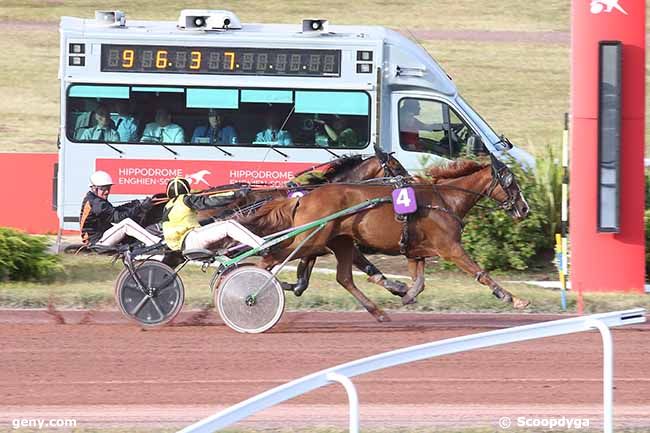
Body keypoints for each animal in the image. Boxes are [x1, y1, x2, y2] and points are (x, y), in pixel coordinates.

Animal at [240, 156, 528, 320]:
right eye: (510, 182)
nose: (524, 208)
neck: (445, 200)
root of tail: (304, 198)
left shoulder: (415, 251)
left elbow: (419, 281)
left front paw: (406, 294)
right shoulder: (451, 248)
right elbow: (481, 273)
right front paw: (513, 298)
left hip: (338, 241)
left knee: (344, 278)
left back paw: (378, 312)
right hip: (312, 239)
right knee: (269, 258)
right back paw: (251, 291)